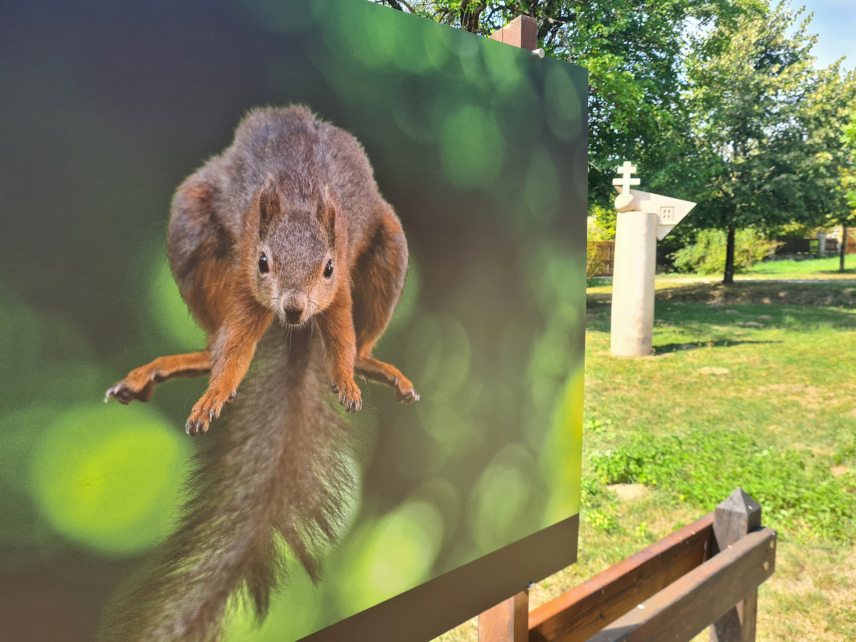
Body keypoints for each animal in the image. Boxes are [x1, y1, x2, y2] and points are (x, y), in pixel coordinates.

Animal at [99, 106, 418, 640]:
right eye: (265, 262)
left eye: (327, 268)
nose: (292, 308)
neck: (299, 197)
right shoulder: (248, 279)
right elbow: (235, 347)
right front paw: (215, 394)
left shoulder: (340, 283)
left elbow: (341, 332)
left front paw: (346, 381)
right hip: (192, 230)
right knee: (214, 344)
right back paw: (183, 365)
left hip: (390, 248)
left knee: (361, 341)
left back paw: (371, 366)